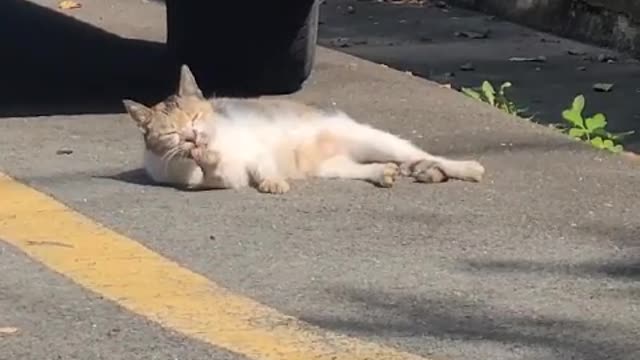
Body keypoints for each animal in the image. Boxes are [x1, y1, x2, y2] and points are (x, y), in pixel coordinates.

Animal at [122, 64, 484, 194]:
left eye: (196, 119)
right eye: (172, 132)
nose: (193, 136)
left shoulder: (253, 148)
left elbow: (261, 164)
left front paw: (271, 181)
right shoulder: (211, 178)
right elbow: (218, 174)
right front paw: (205, 159)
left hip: (373, 138)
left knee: (422, 155)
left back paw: (463, 167)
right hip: (331, 167)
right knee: (376, 166)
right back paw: (385, 173)